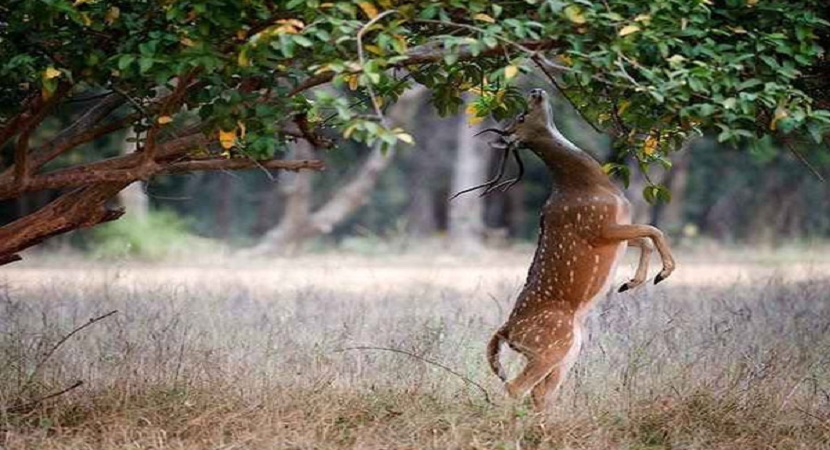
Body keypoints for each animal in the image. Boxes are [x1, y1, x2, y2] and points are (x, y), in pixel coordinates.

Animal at [480, 89, 676, 412]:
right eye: (521, 115)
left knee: (540, 394)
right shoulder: (598, 226)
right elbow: (653, 230)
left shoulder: (618, 229)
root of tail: (506, 331)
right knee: (515, 387)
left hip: (567, 351)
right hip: (550, 345)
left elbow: (646, 238)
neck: (590, 186)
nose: (536, 91)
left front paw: (631, 283)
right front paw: (663, 274)